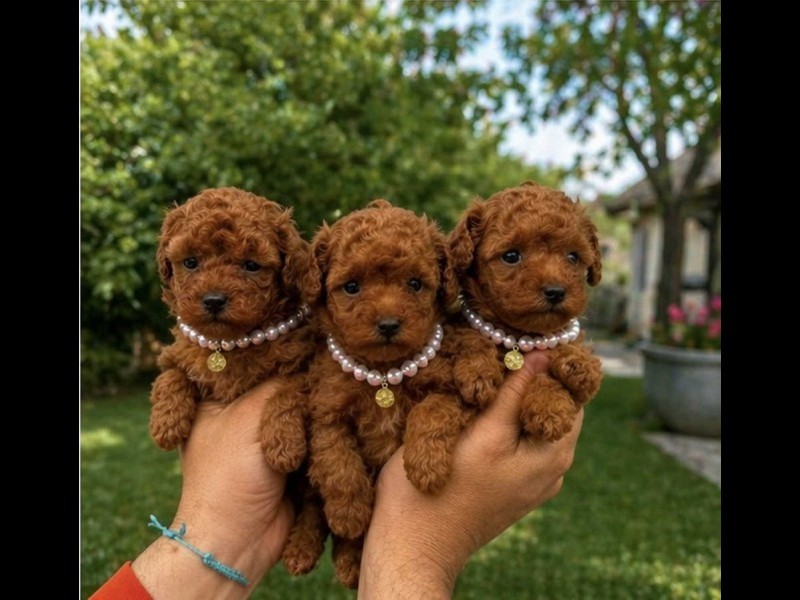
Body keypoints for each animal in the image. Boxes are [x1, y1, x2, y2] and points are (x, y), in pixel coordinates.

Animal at [149, 186, 314, 474]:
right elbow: (170, 376)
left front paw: (283, 444)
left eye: (251, 265)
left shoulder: (307, 363)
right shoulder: (176, 354)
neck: (228, 344)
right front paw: (166, 423)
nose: (214, 300)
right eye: (190, 262)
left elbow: (289, 390)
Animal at [299, 199, 494, 587]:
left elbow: (431, 412)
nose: (388, 325)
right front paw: (349, 514)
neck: (385, 373)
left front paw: (426, 468)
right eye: (352, 287)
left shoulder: (448, 388)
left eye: (415, 284)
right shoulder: (327, 411)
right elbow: (338, 463)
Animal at [449, 181, 604, 441]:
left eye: (573, 256)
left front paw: (549, 407)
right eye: (511, 256)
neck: (522, 335)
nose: (555, 291)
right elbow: (471, 336)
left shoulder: (586, 391)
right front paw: (479, 371)